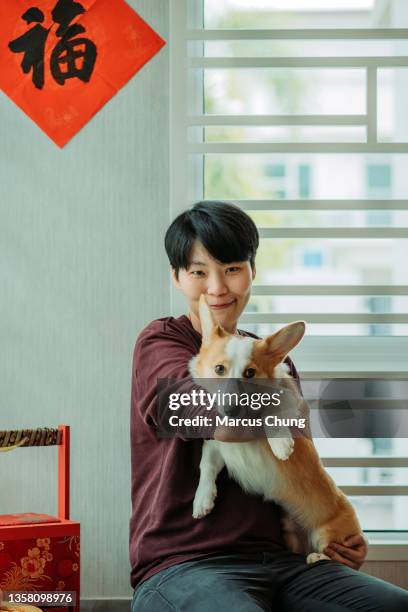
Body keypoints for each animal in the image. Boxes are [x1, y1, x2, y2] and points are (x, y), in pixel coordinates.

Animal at [190, 294, 362, 560]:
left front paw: (281, 445)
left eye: (250, 372)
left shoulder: (289, 403)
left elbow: (272, 410)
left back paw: (318, 557)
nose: (230, 411)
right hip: (289, 532)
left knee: (331, 552)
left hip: (328, 532)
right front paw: (202, 499)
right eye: (219, 369)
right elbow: (206, 465)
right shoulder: (217, 444)